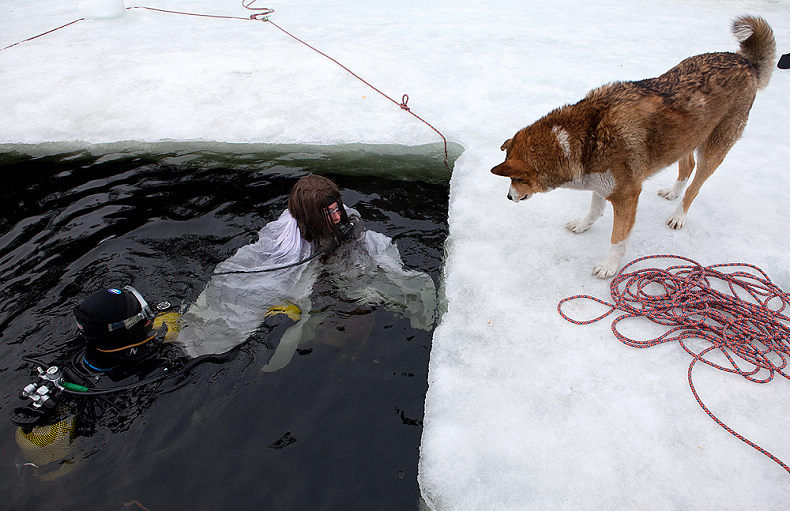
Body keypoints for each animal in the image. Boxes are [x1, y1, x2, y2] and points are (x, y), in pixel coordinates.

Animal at [492, 16, 776, 278]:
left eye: (517, 179)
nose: (508, 197)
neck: (586, 137)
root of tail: (745, 62)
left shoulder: (627, 194)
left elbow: (618, 238)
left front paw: (609, 266)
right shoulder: (603, 183)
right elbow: (594, 209)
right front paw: (583, 225)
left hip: (714, 149)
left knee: (695, 186)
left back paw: (678, 214)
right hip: (685, 138)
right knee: (687, 166)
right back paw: (673, 192)